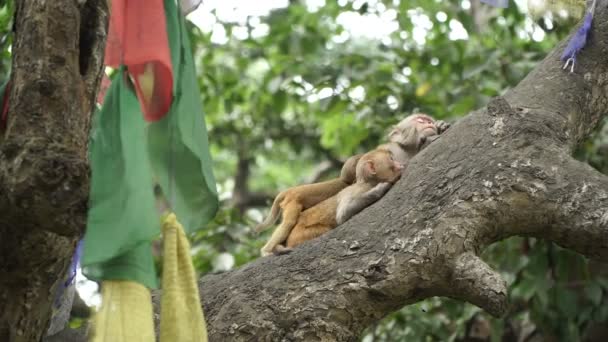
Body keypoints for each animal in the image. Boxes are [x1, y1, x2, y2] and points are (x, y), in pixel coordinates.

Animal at [276, 148, 404, 252]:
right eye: (391, 159)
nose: (399, 164)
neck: (368, 183)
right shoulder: (355, 191)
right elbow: (343, 214)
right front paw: (380, 189)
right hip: (301, 235)